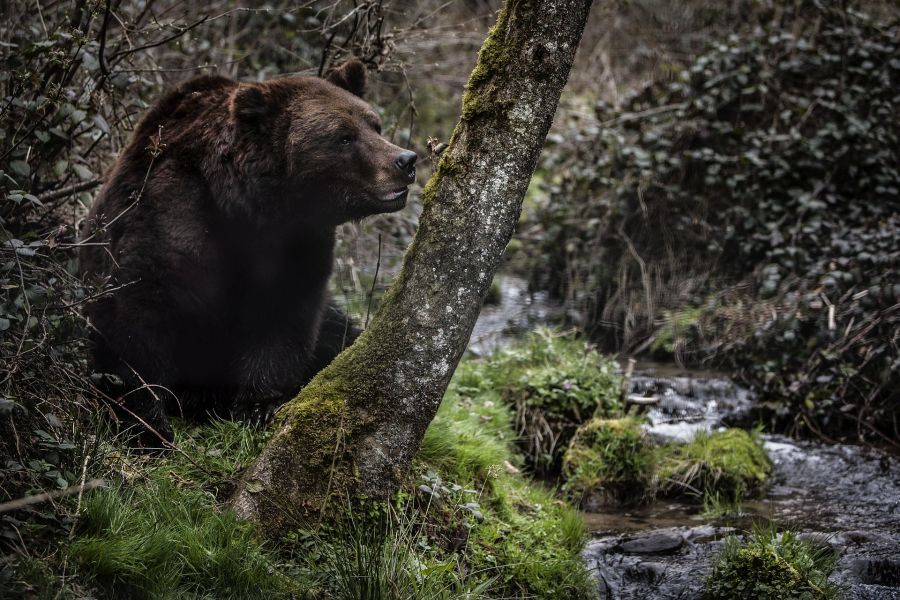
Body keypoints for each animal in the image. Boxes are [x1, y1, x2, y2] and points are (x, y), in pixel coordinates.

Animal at [79, 61, 416, 446]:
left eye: (374, 124)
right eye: (344, 136)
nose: (406, 160)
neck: (247, 208)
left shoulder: (297, 245)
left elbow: (284, 318)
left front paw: (260, 407)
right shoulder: (170, 216)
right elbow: (139, 316)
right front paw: (148, 427)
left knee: (340, 334)